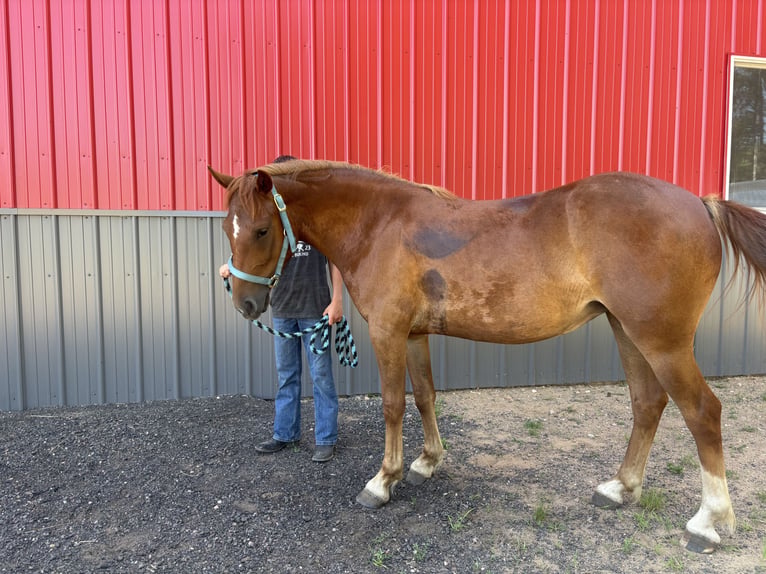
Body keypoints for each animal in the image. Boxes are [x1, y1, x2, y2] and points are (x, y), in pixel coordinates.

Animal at [209, 159, 766, 554]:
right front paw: (426, 463)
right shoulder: (414, 335)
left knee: (702, 411)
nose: (246, 303)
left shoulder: (388, 333)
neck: (379, 222)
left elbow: (392, 405)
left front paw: (382, 482)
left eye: (262, 230)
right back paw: (620, 488)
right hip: (626, 330)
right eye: (226, 227)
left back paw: (708, 522)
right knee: (647, 403)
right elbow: (425, 396)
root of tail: (699, 202)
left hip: (662, 341)